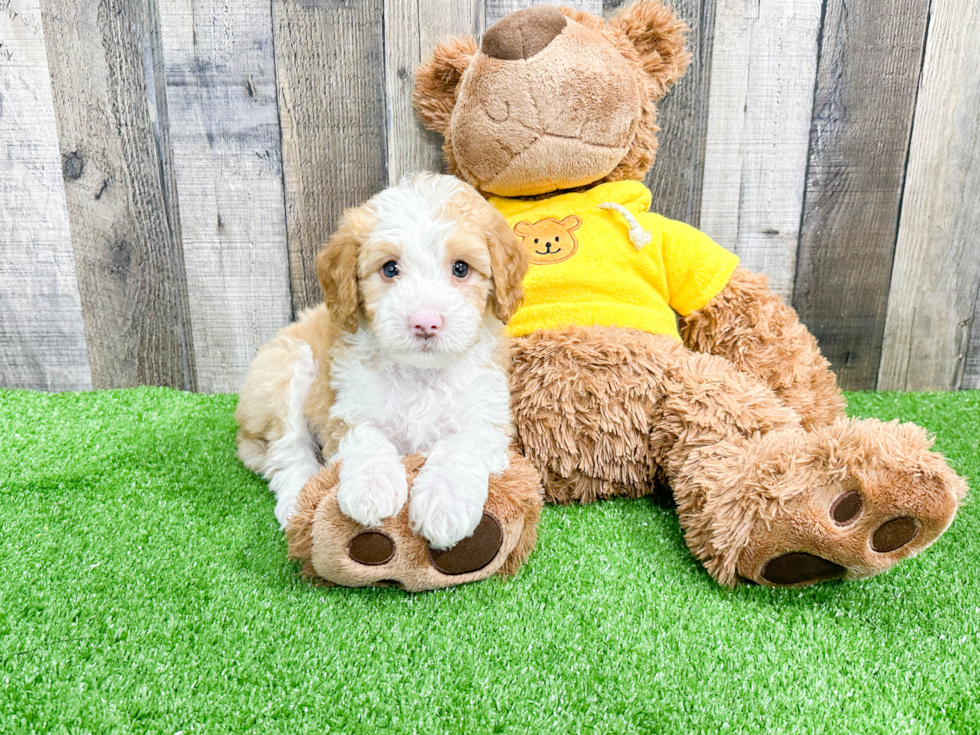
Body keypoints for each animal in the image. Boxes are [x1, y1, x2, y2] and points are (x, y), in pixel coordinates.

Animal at [234, 174, 528, 552]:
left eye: (461, 268)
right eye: (390, 268)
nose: (425, 322)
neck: (420, 376)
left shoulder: (487, 417)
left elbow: (461, 444)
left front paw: (445, 502)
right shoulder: (346, 409)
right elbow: (368, 439)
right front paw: (371, 488)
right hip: (286, 368)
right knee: (287, 450)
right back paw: (296, 500)